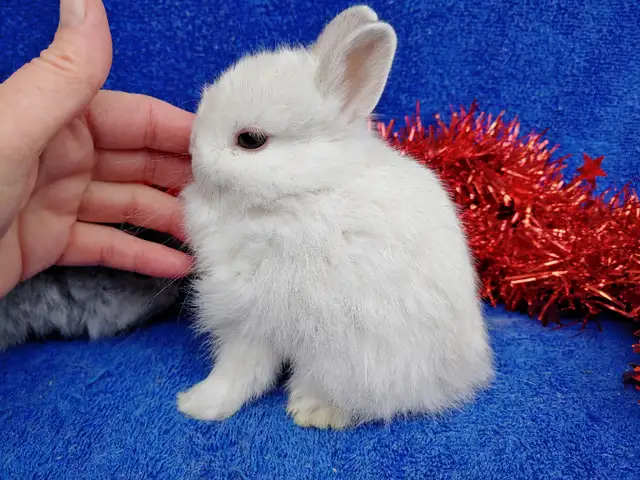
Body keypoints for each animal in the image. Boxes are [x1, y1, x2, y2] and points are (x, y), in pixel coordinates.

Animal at [176, 5, 494, 429]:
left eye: (250, 140)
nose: (193, 156)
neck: (305, 189)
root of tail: (460, 375)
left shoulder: (253, 313)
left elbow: (240, 371)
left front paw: (198, 404)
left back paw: (315, 411)